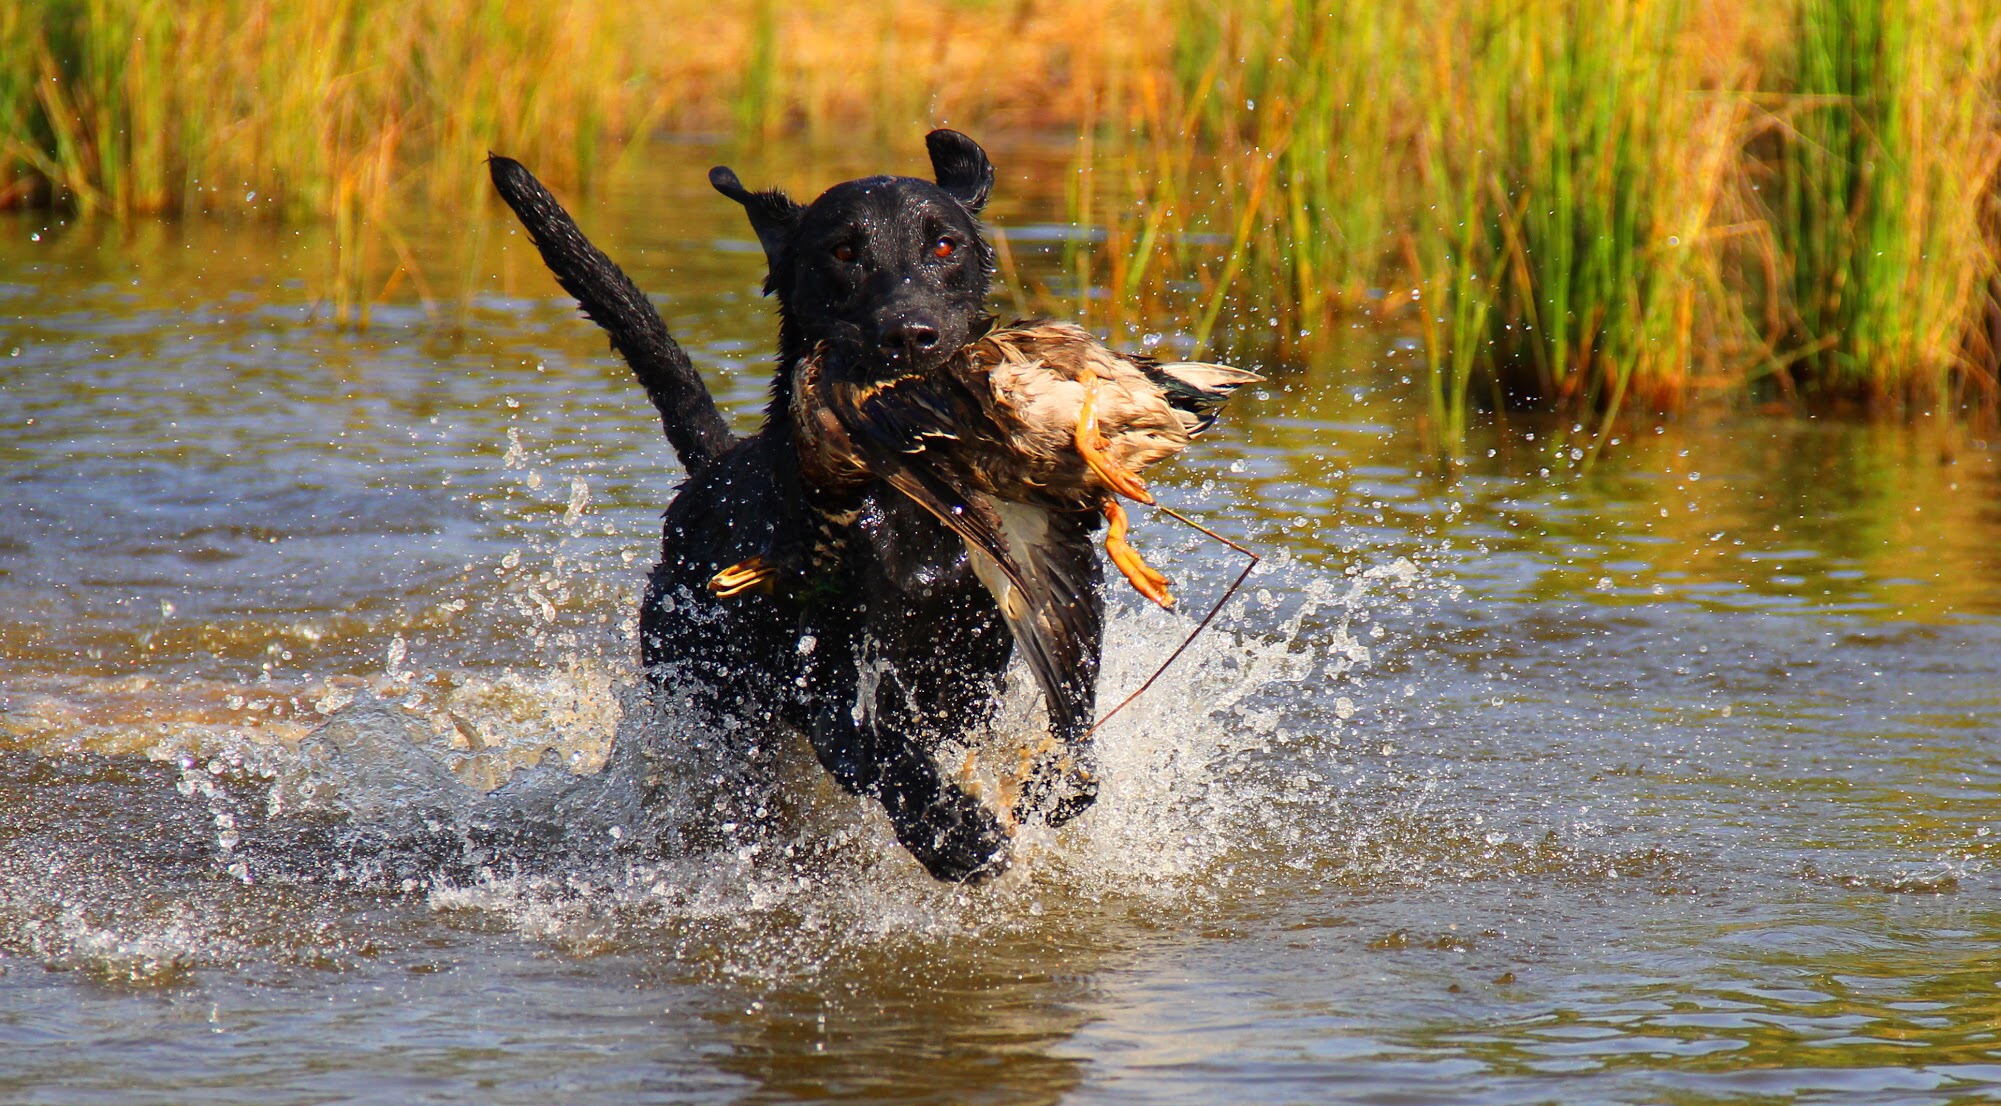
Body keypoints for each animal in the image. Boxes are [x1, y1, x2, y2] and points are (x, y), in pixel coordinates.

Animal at [490, 129, 1104, 876]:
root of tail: (711, 468)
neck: (902, 501)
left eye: (944, 244)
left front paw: (1057, 780)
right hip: (708, 691)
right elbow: (884, 751)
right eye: (842, 250)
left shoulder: (980, 660)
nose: (909, 333)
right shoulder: (824, 681)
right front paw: (952, 830)